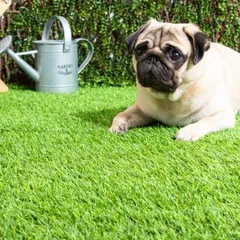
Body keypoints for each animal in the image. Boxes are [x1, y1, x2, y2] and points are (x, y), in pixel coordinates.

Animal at [109, 20, 240, 142]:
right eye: (140, 50)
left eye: (175, 55)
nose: (153, 57)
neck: (169, 98)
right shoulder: (140, 110)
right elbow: (121, 114)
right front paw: (117, 125)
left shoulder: (223, 114)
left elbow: (206, 121)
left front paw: (188, 132)